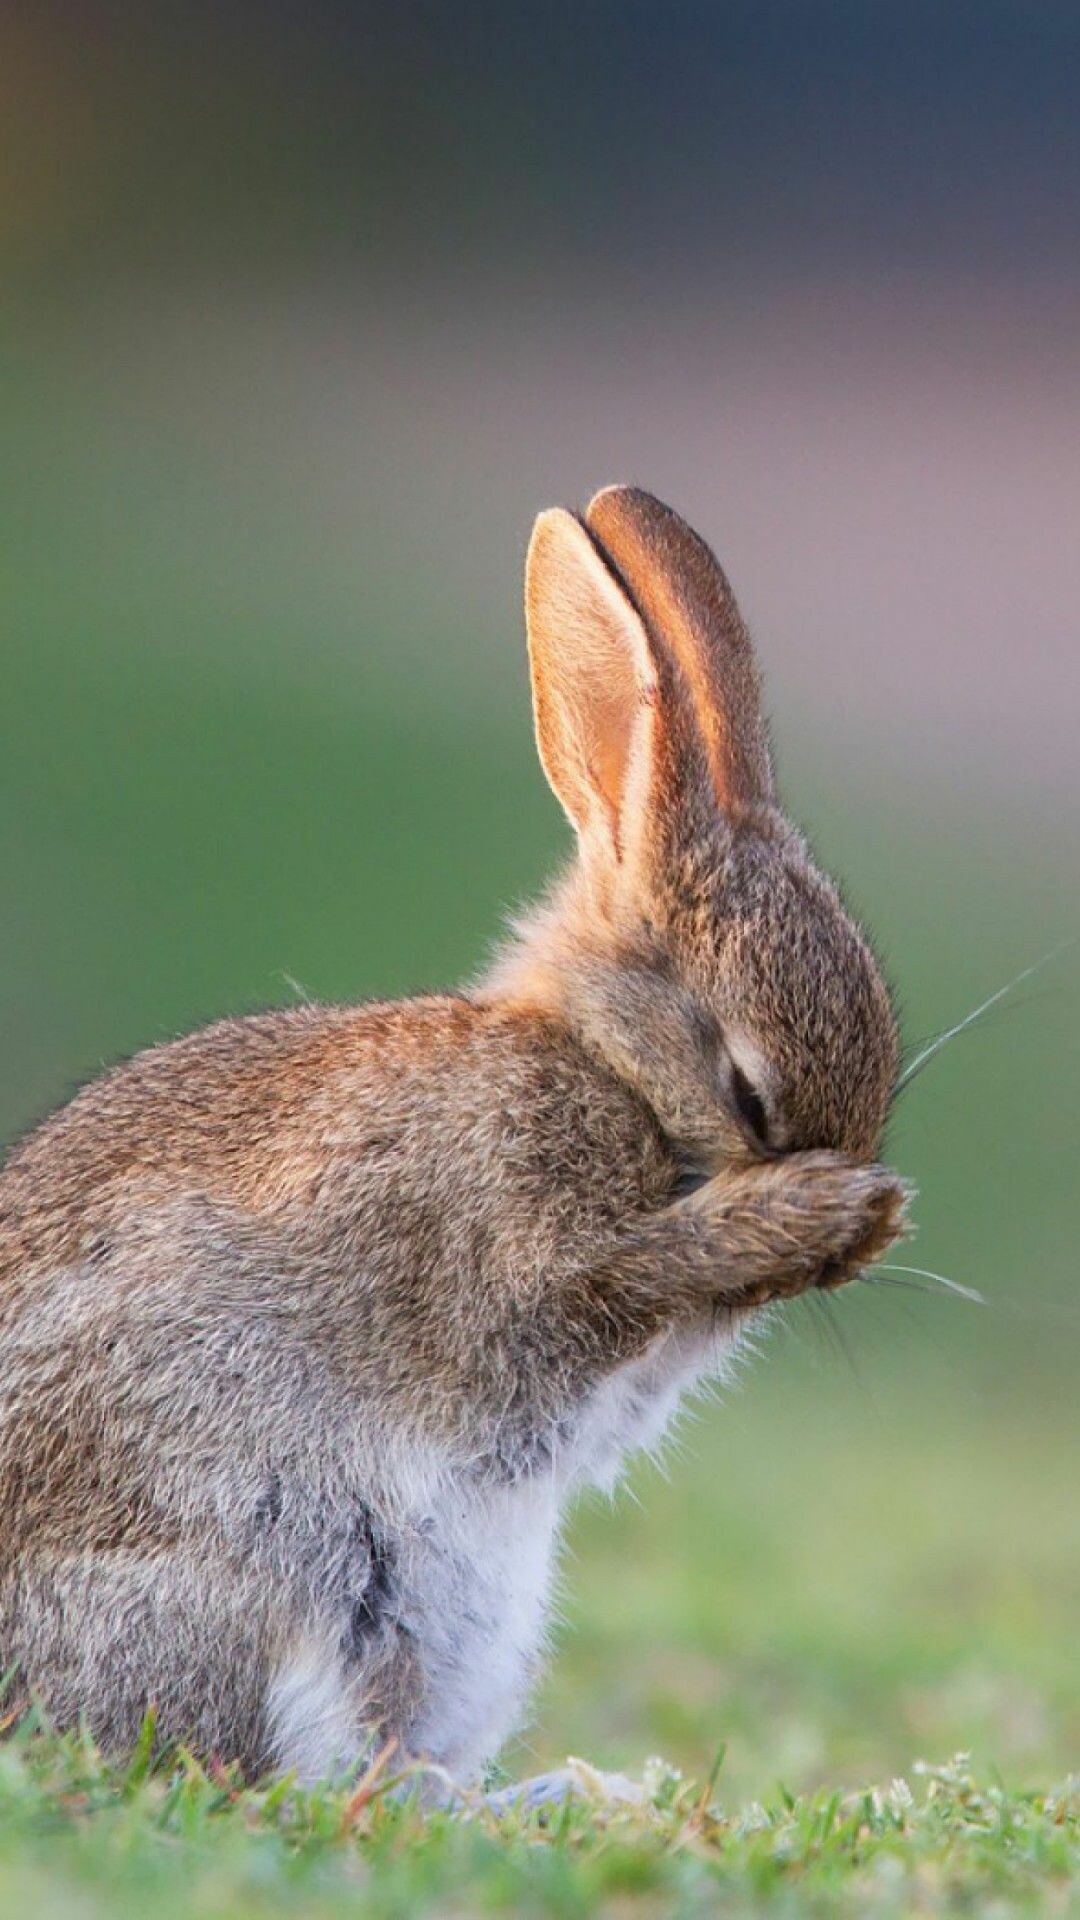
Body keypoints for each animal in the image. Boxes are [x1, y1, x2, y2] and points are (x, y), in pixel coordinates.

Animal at [0, 487, 907, 1789]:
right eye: (747, 1092)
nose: (853, 1242)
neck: (604, 1064)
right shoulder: (519, 1252)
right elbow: (606, 1282)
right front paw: (816, 1212)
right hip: (281, 1570)